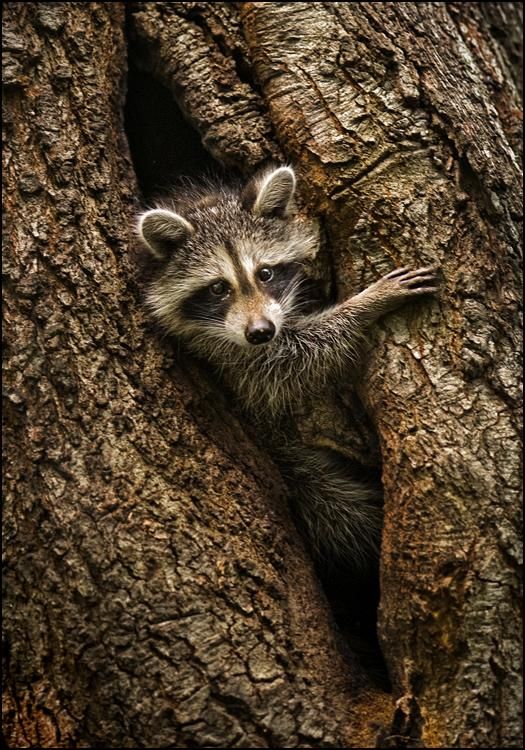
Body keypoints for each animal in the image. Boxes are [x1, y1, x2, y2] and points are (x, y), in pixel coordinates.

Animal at [137, 166, 438, 568]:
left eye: (265, 273)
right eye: (218, 288)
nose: (260, 332)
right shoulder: (225, 358)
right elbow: (286, 363)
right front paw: (364, 306)